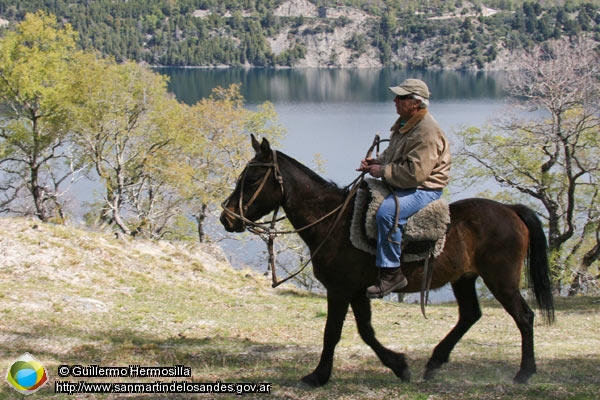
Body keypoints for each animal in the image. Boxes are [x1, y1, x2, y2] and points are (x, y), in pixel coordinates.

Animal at [219, 135, 552, 388]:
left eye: (251, 179)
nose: (226, 218)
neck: (333, 222)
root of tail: (510, 210)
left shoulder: (339, 290)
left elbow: (332, 332)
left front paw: (317, 376)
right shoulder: (357, 292)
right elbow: (366, 331)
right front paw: (399, 365)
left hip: (501, 279)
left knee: (524, 317)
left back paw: (524, 373)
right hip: (465, 278)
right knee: (470, 315)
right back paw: (434, 362)